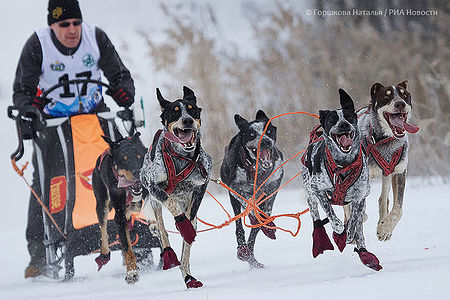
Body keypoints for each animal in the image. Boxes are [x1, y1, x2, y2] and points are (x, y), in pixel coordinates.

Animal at [140, 86, 212, 288]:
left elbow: (190, 221)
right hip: (154, 201)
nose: (187, 120)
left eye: (192, 110)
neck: (181, 157)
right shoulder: (154, 186)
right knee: (162, 231)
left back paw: (188, 277)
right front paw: (182, 224)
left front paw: (187, 227)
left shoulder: (201, 185)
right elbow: (171, 204)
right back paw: (168, 253)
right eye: (175, 111)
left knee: (185, 252)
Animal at [220, 110, 284, 270]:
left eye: (268, 131)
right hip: (233, 199)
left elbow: (261, 220)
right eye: (252, 134)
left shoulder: (272, 189)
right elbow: (249, 207)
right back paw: (244, 249)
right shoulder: (234, 188)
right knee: (239, 224)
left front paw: (267, 226)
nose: (266, 141)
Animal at [300, 89, 382, 272]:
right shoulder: (318, 190)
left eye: (349, 116)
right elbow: (332, 216)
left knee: (359, 226)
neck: (343, 165)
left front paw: (349, 234)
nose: (344, 124)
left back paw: (363, 251)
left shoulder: (360, 197)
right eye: (332, 119)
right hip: (310, 194)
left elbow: (354, 221)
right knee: (315, 214)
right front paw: (338, 231)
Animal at [348, 81, 418, 240]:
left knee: (383, 198)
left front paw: (385, 228)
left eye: (404, 95)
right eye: (387, 97)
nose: (400, 104)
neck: (384, 140)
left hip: (387, 174)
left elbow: (398, 208)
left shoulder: (399, 172)